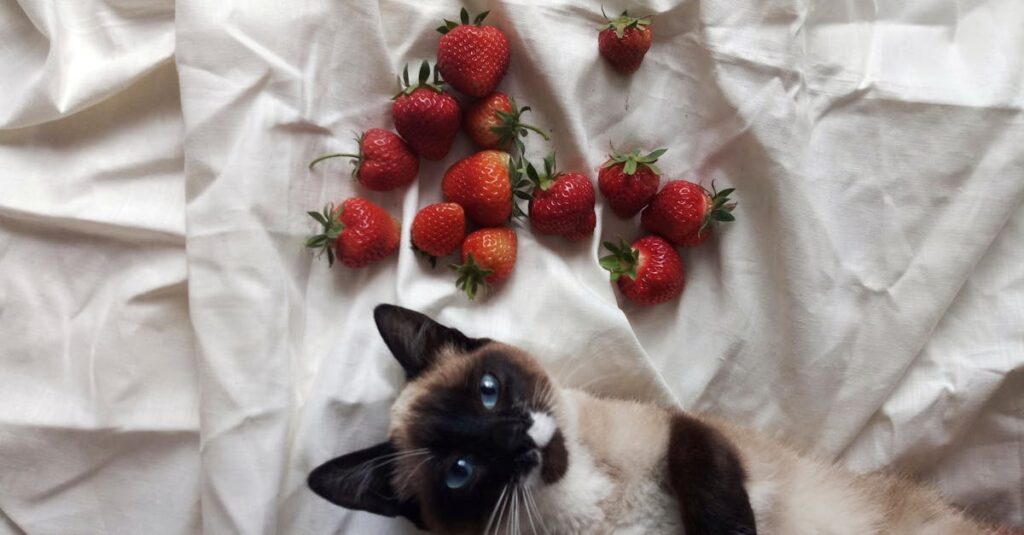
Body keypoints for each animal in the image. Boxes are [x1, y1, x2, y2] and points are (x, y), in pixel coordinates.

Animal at [305, 303, 1007, 532]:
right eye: (460, 470)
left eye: (488, 391)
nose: (517, 440)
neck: (587, 503)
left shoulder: (690, 431)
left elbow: (702, 471)